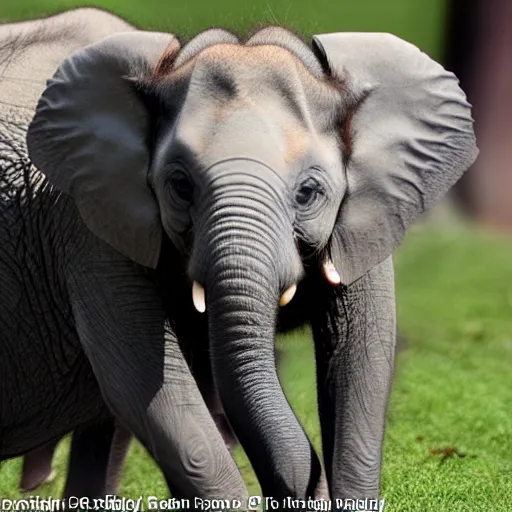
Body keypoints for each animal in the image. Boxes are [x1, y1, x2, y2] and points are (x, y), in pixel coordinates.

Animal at [2, 5, 478, 508]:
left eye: (308, 192)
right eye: (180, 186)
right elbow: (145, 388)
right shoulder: (88, 225)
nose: (303, 487)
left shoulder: (368, 210)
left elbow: (363, 366)